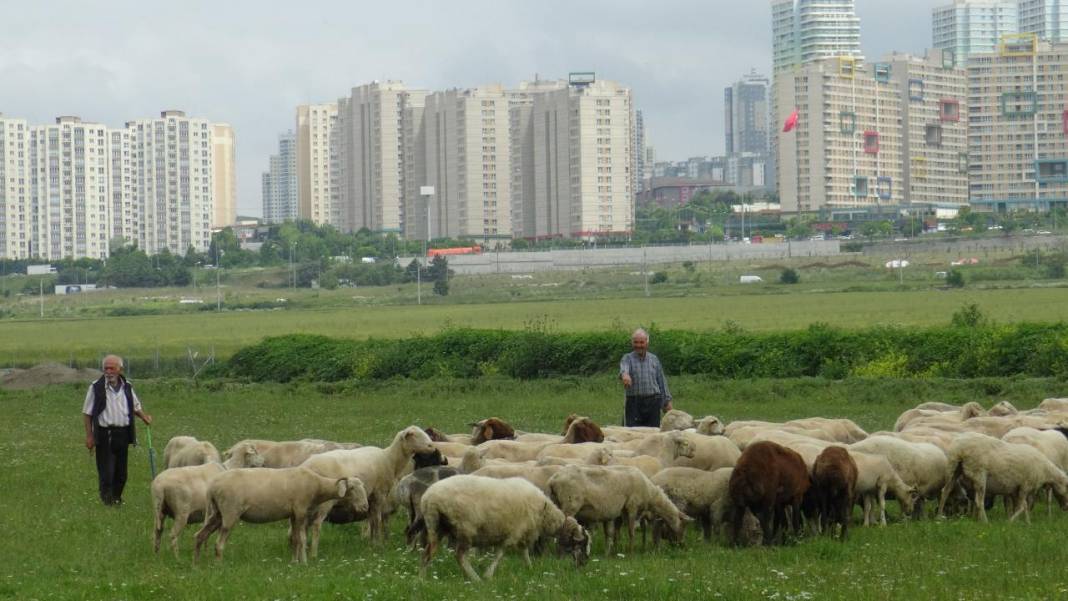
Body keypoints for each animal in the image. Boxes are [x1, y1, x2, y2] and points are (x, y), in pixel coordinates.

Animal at [194, 465, 369, 563]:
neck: (317, 486)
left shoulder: (293, 514)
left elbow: (295, 539)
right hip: (230, 512)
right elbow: (301, 539)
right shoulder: (300, 510)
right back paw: (219, 566)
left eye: (363, 486)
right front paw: (302, 563)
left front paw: (295, 561)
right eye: (352, 488)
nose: (365, 507)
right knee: (218, 544)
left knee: (199, 536)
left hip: (217, 513)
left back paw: (196, 566)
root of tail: (211, 487)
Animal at [301, 422, 433, 550]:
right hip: (324, 501)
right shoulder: (379, 493)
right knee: (316, 524)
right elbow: (377, 519)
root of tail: (306, 466)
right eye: (413, 435)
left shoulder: (369, 496)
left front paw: (371, 541)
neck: (389, 459)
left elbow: (371, 519)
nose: (432, 446)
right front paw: (379, 543)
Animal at [414, 478, 593, 580]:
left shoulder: (523, 533)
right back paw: (476, 579)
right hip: (465, 528)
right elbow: (501, 554)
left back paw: (421, 580)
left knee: (427, 553)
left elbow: (524, 553)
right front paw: (488, 575)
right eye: (582, 543)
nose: (583, 564)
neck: (545, 514)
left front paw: (530, 569)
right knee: (460, 556)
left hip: (435, 526)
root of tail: (430, 498)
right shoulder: (514, 532)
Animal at [546, 465, 687, 555]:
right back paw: (560, 553)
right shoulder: (632, 506)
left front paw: (613, 551)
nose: (681, 545)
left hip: (556, 503)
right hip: (570, 504)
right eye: (682, 526)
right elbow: (631, 531)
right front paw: (631, 552)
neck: (651, 494)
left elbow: (614, 533)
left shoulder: (619, 512)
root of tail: (553, 479)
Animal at [935, 433, 1068, 523]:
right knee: (979, 500)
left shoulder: (1016, 489)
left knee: (945, 491)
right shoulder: (1025, 486)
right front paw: (1011, 522)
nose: (1066, 508)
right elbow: (1023, 506)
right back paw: (985, 521)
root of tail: (960, 448)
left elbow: (1021, 506)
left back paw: (940, 516)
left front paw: (1026, 522)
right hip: (979, 473)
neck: (1046, 470)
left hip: (953, 468)